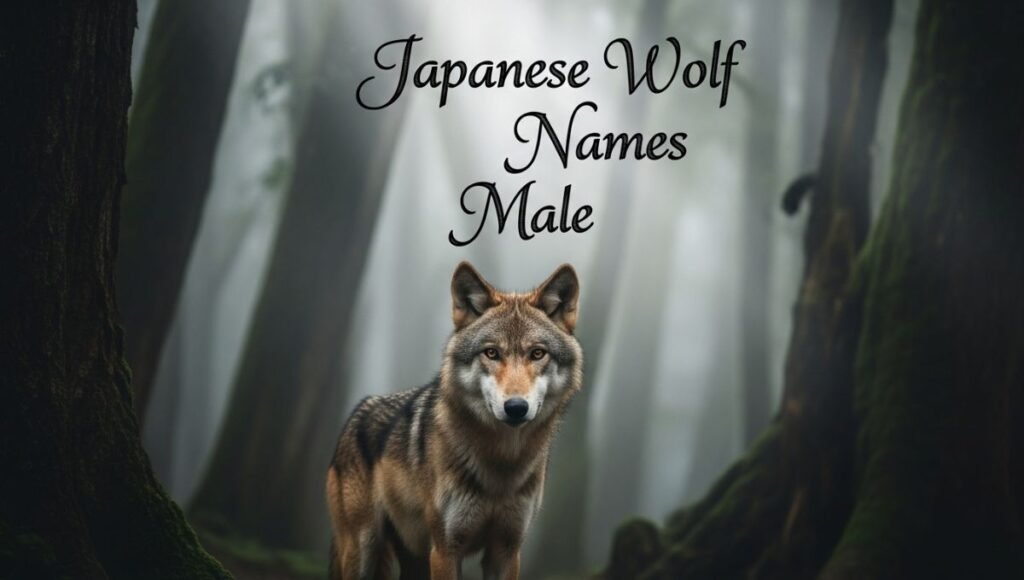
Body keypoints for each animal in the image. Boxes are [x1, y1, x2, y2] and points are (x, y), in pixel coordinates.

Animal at [326, 261, 583, 579]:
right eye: (491, 353)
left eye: (537, 353)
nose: (515, 407)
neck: (501, 464)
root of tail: (357, 412)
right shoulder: (445, 550)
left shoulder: (507, 550)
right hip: (364, 550)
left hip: (412, 558)